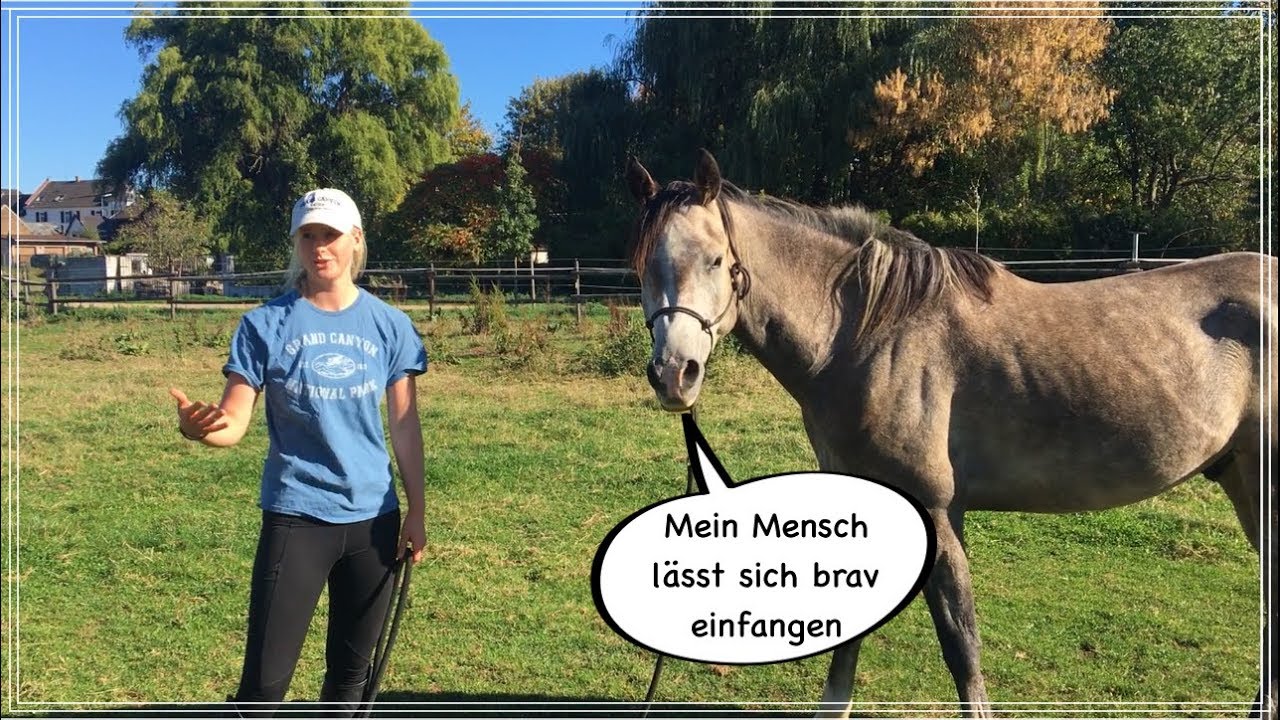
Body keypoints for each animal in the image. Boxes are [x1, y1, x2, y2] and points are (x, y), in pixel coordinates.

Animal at [624, 149, 1275, 717]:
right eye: (644, 267)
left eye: (714, 260)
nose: (674, 375)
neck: (869, 335)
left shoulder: (937, 510)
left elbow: (961, 645)